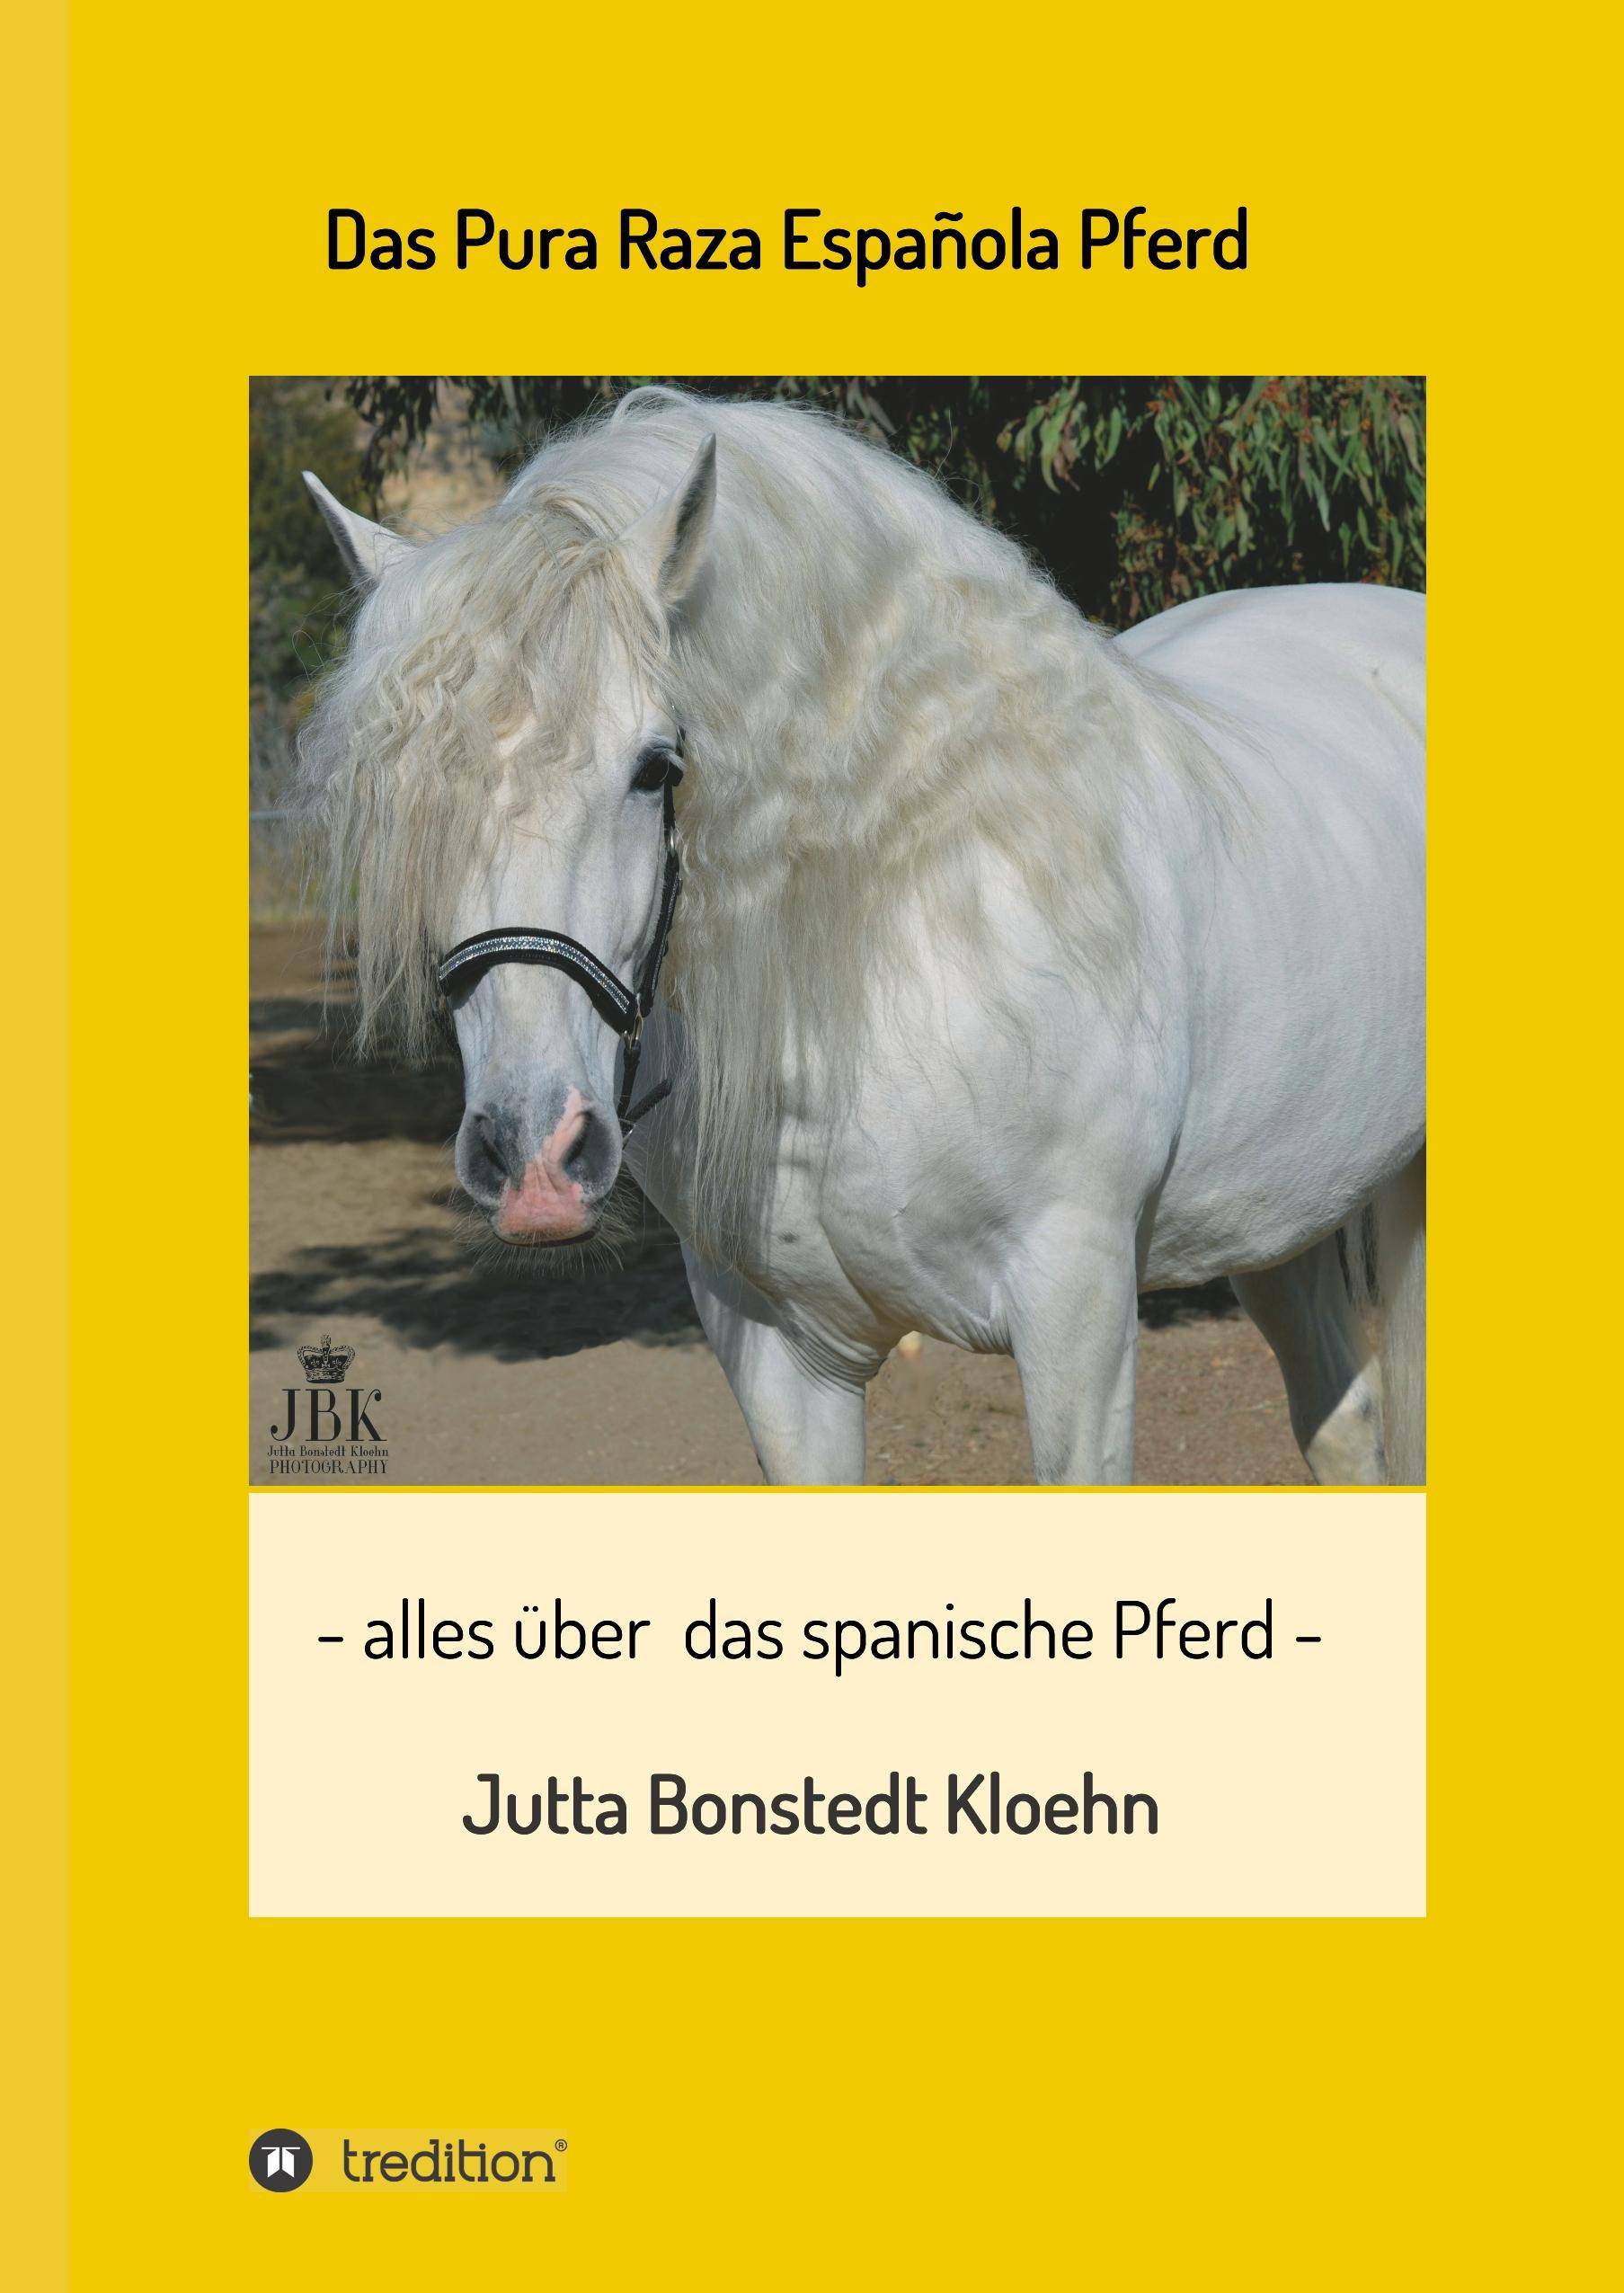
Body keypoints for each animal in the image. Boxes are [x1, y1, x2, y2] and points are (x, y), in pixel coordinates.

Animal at [300, 386, 1425, 1486]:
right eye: (410, 797)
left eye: (656, 766)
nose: (534, 1158)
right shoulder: (775, 1354)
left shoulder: (1080, 1314)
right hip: (1279, 1215)